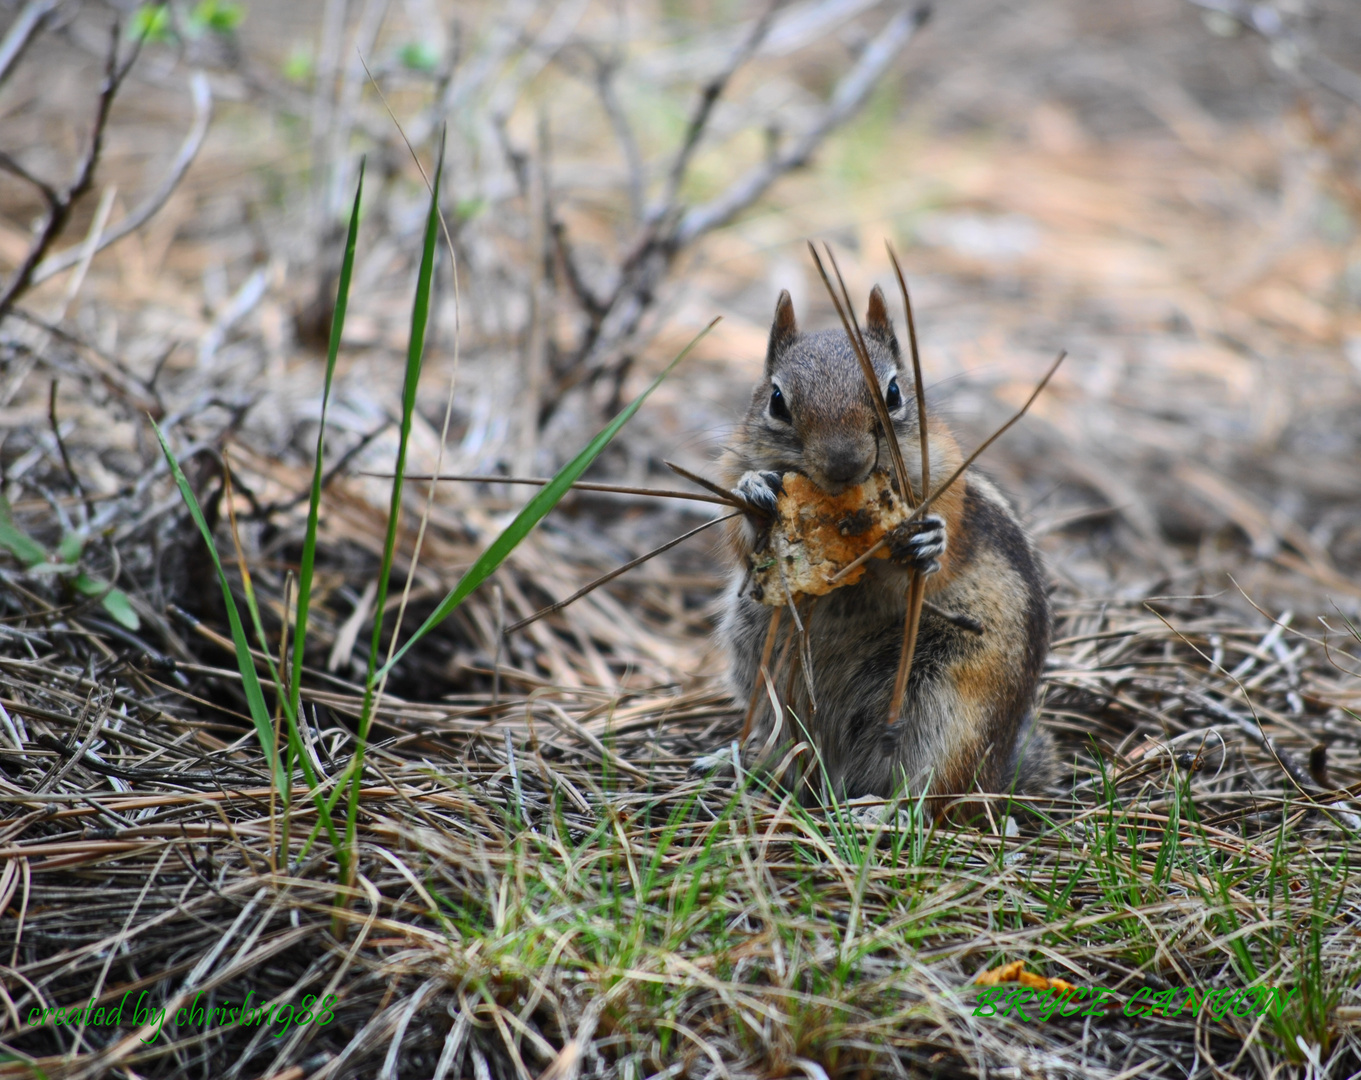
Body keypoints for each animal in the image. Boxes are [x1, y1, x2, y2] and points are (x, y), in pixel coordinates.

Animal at [702, 284, 1050, 799]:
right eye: (777, 401)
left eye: (894, 392)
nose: (845, 462)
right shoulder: (730, 466)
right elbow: (738, 541)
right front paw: (754, 490)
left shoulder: (946, 481)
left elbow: (932, 562)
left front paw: (928, 542)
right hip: (758, 663)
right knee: (785, 742)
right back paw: (743, 762)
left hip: (948, 707)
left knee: (936, 788)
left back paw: (881, 808)